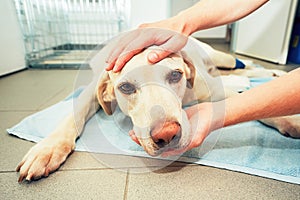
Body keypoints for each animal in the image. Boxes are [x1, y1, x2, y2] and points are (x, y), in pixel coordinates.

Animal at [17, 36, 300, 183]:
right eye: (126, 87)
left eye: (175, 75)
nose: (167, 134)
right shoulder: (92, 90)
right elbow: (72, 114)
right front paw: (47, 149)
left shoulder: (214, 91)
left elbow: (260, 103)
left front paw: (290, 119)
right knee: (242, 72)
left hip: (223, 59)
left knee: (245, 67)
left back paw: (273, 72)